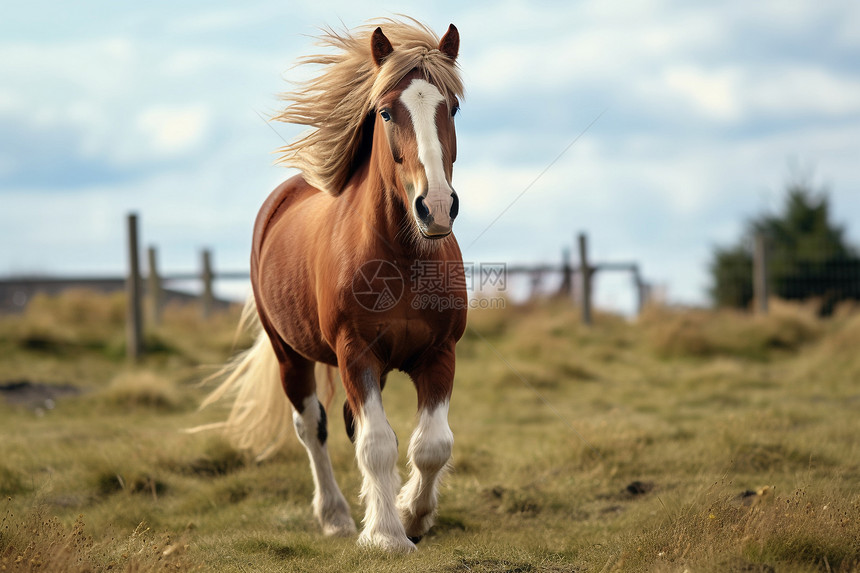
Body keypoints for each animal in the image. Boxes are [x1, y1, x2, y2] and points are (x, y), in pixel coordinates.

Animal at [199, 19, 466, 556]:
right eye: (385, 112)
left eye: (452, 107)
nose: (436, 206)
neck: (402, 260)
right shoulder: (355, 353)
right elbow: (376, 443)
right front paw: (385, 535)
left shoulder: (440, 352)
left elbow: (432, 445)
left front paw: (413, 516)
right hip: (289, 355)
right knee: (312, 427)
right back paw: (336, 517)